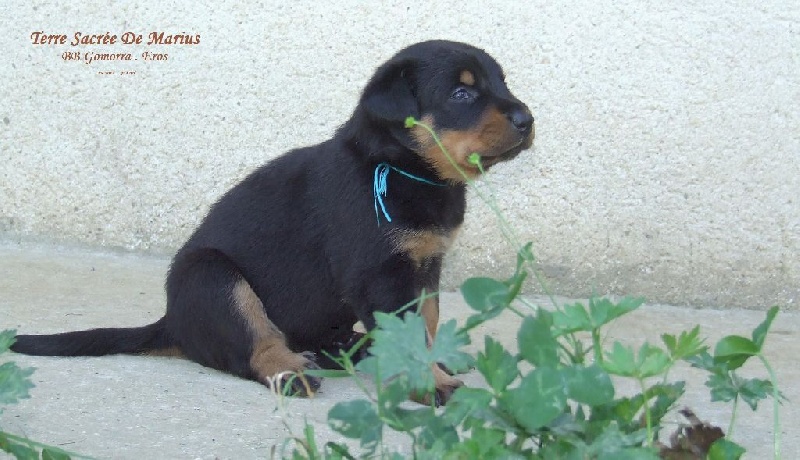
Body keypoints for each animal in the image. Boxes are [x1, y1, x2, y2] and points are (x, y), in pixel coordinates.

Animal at [9, 40, 536, 406]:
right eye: (462, 92)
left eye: (502, 83)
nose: (528, 118)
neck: (398, 166)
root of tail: (171, 324)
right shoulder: (382, 276)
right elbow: (408, 336)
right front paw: (431, 383)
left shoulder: (424, 267)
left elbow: (426, 323)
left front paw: (435, 363)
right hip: (213, 277)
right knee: (256, 347)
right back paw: (293, 371)